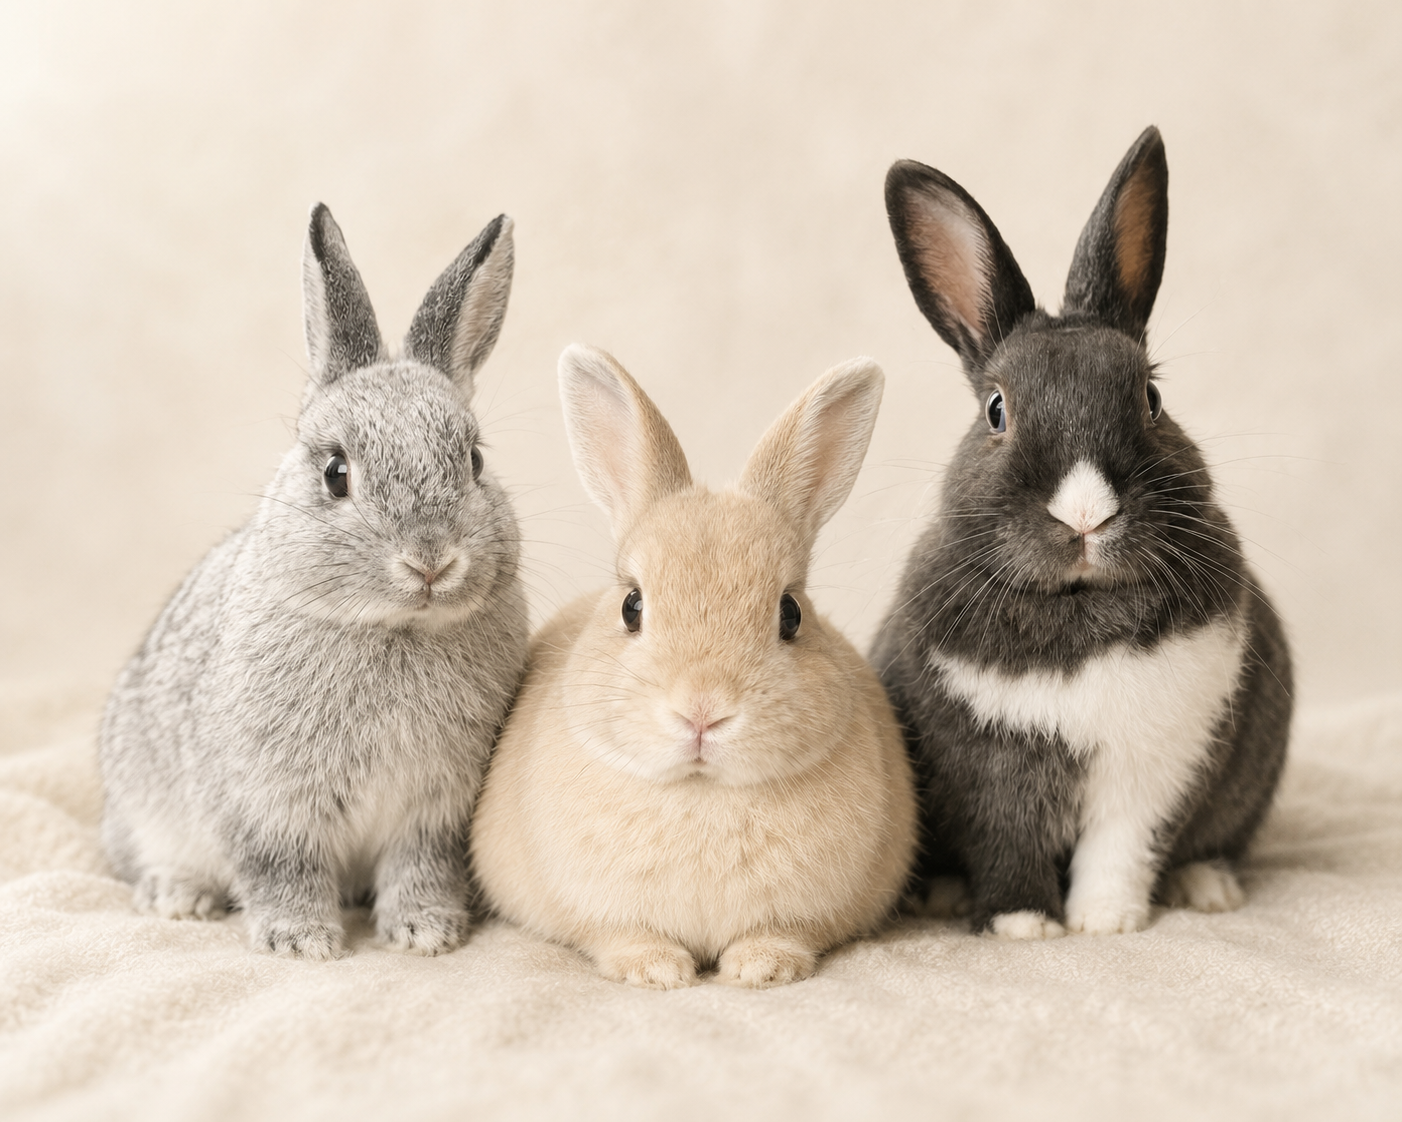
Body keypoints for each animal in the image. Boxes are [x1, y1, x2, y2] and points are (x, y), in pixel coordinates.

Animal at [98, 204, 528, 959]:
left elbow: (421, 865)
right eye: (335, 473)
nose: (431, 559)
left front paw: (426, 931)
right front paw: (302, 941)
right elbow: (281, 868)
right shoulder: (267, 802)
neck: (393, 628)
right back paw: (177, 896)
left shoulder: (436, 809)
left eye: (475, 461)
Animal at [469, 345, 917, 988]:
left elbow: (782, 933)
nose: (702, 713)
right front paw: (658, 972)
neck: (702, 791)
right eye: (631, 606)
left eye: (791, 614)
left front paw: (762, 969)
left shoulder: (804, 914)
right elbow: (623, 937)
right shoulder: (604, 915)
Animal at [870, 126, 1292, 939]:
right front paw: (1023, 925)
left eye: (1151, 398)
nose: (1086, 513)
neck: (1079, 604)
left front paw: (1108, 922)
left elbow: (1121, 848)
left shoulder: (1157, 771)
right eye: (996, 411)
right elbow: (1006, 845)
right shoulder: (987, 777)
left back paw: (1209, 886)